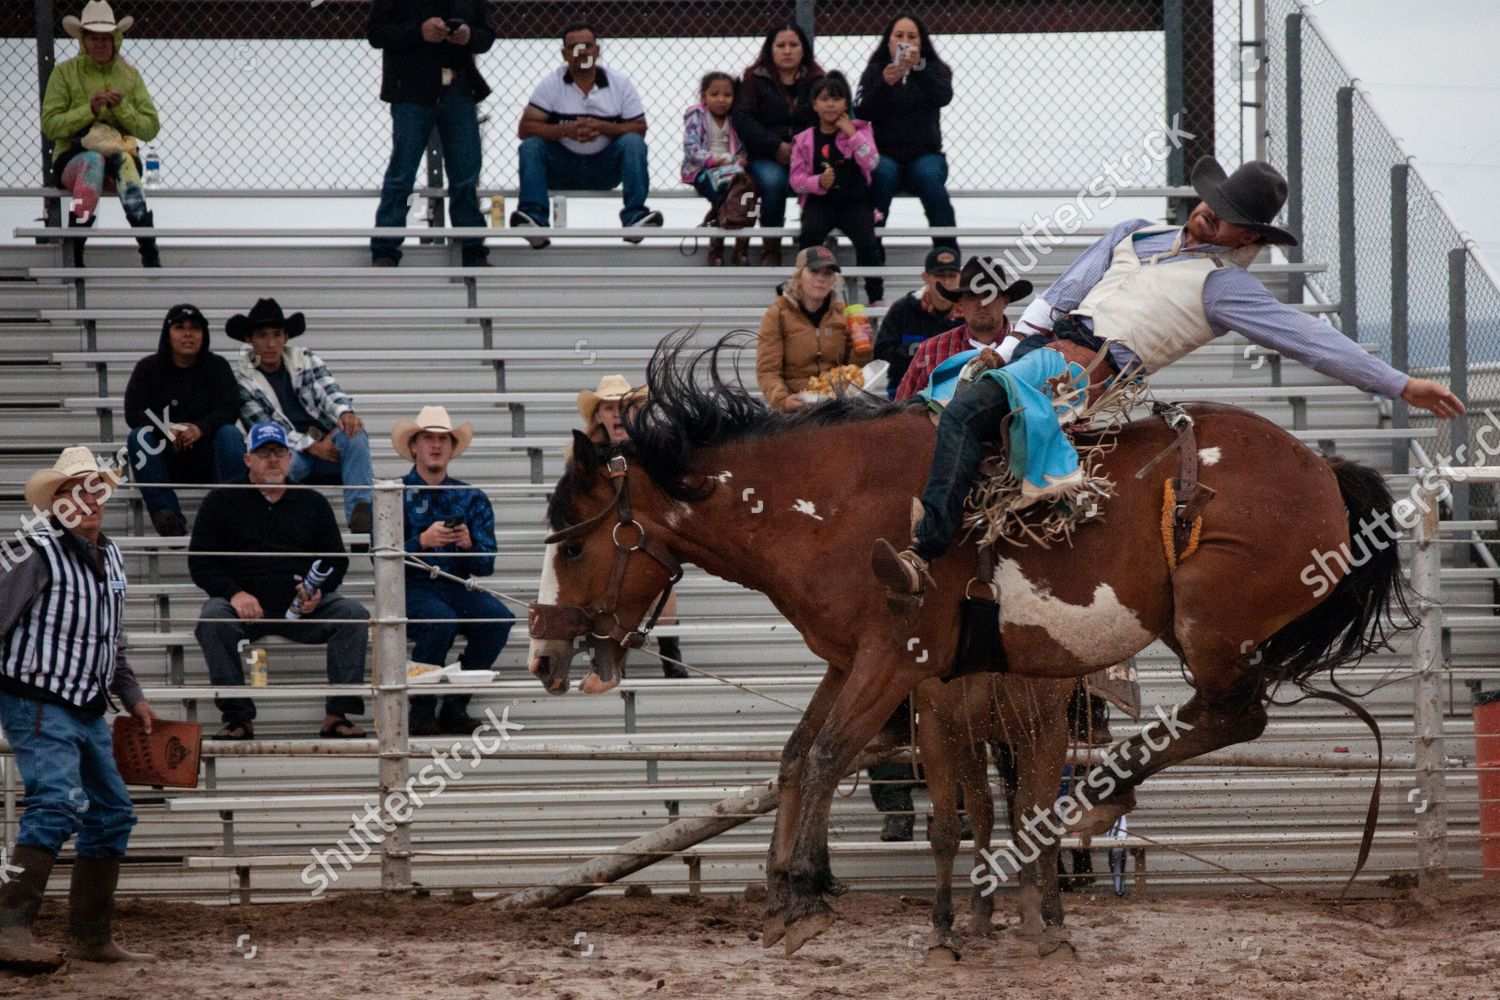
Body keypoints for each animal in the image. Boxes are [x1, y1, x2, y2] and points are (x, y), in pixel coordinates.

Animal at [534, 334, 1410, 953]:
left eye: (571, 547)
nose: (544, 656)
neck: (825, 505)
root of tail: (1324, 472)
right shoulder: (849, 659)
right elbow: (799, 754)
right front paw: (789, 890)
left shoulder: (893, 658)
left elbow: (826, 757)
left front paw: (804, 895)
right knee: (1220, 719)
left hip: (1211, 629)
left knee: (1231, 717)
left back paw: (1098, 799)